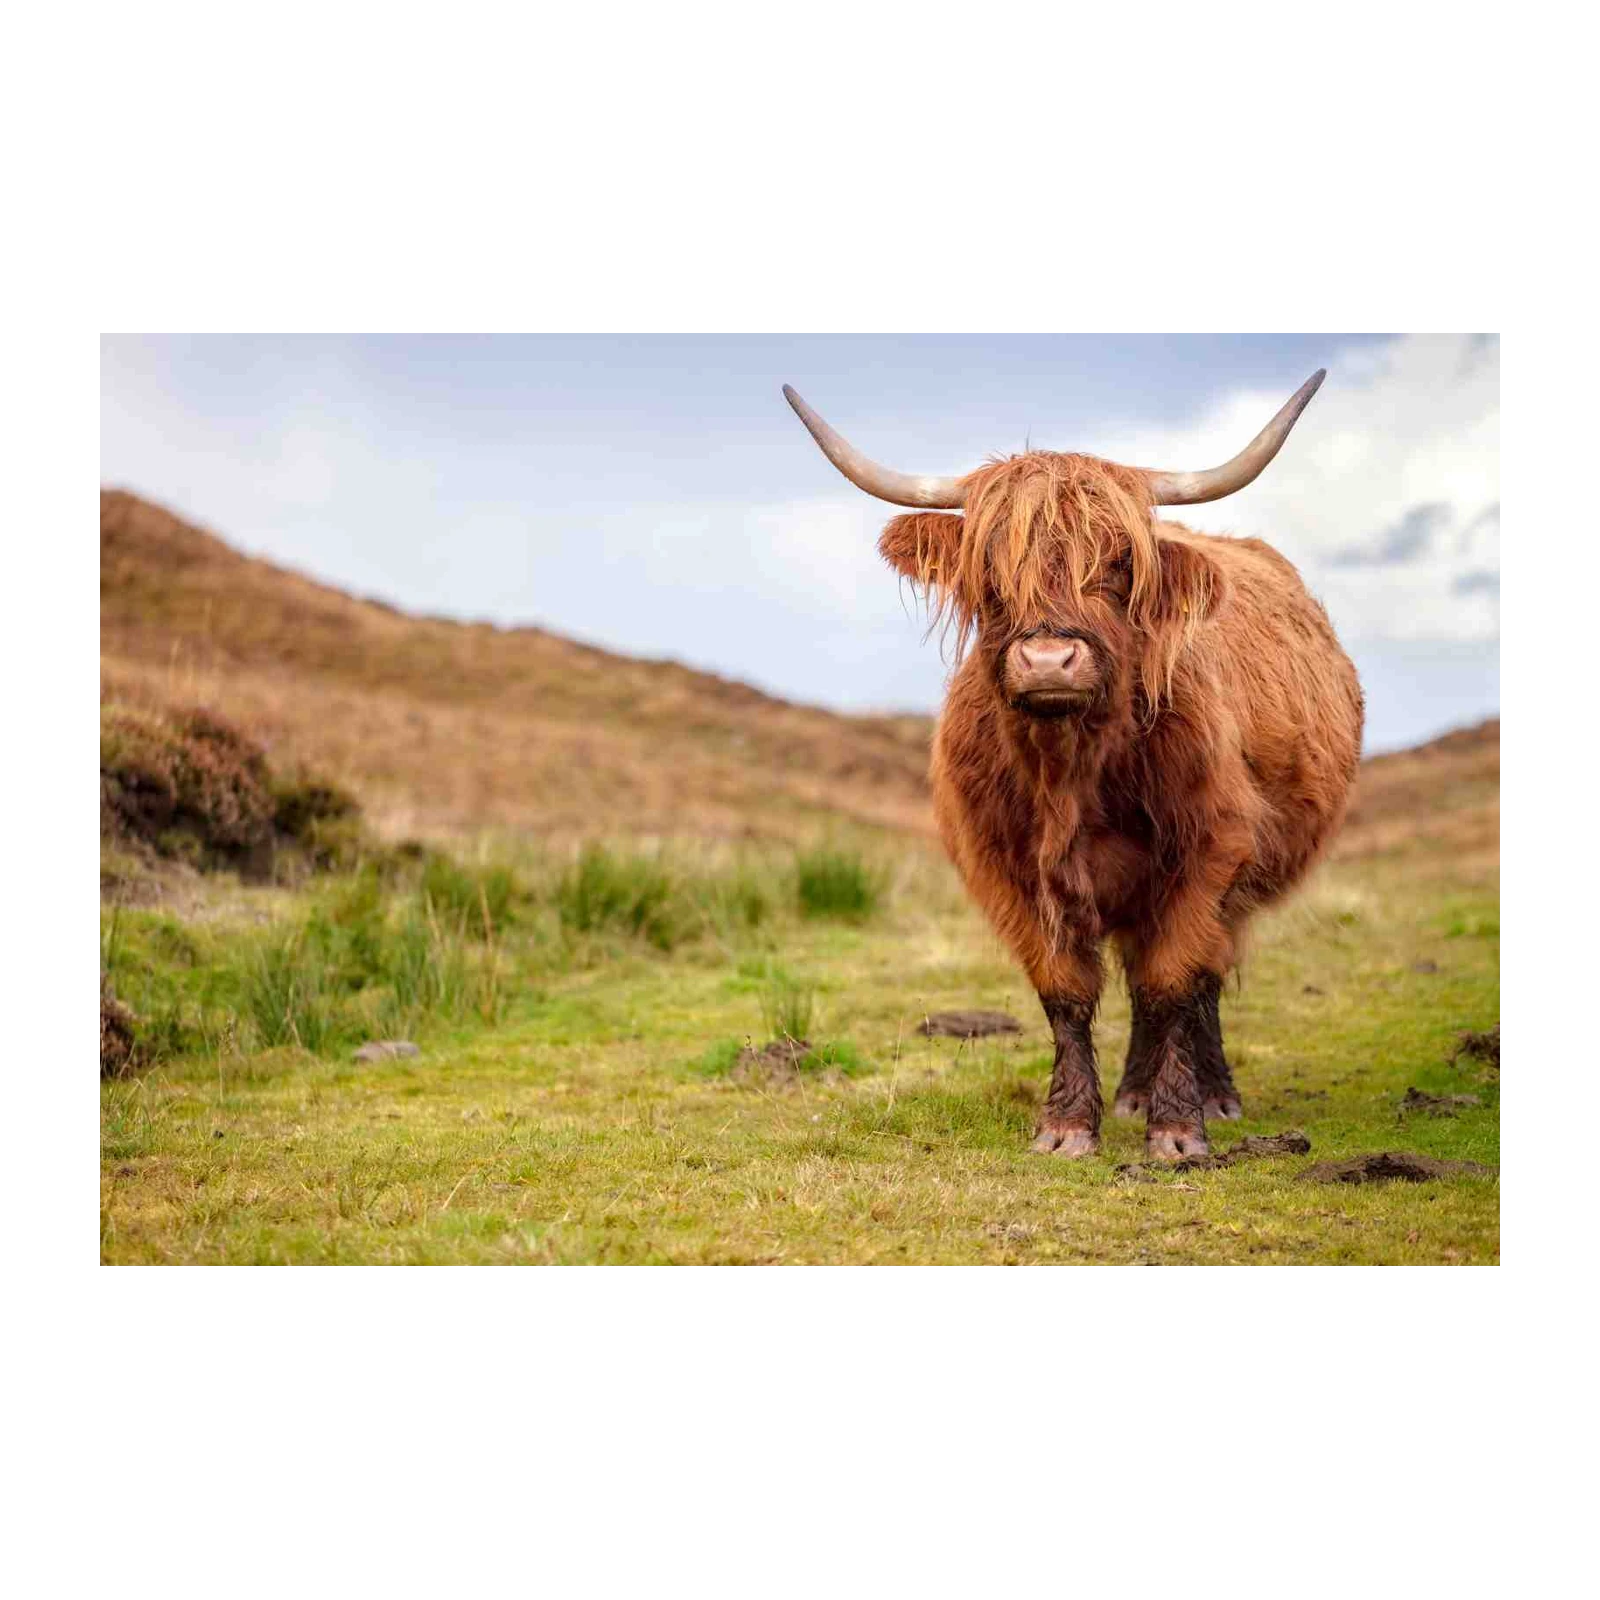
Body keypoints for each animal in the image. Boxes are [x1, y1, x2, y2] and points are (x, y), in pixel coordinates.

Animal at [783, 371, 1364, 1160]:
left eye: (1119, 564)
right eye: (990, 568)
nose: (1049, 660)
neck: (1072, 772)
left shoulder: (1209, 852)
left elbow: (1174, 980)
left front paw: (1178, 1131)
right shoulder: (1008, 869)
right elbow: (1065, 990)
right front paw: (1066, 1126)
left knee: (1199, 979)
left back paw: (1211, 1094)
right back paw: (1131, 1093)